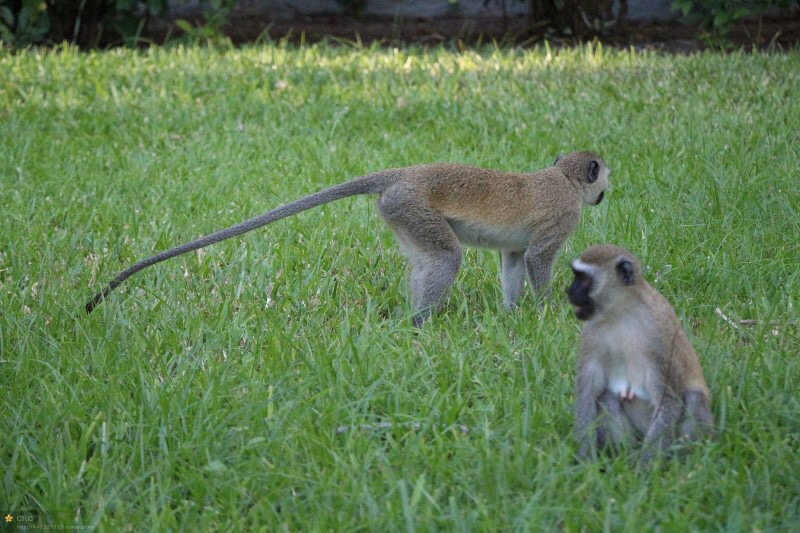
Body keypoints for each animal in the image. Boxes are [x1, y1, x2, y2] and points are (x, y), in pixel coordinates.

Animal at [87, 151, 608, 324]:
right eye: (603, 174)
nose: (606, 192)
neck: (563, 180)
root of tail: (404, 175)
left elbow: (515, 259)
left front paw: (513, 313)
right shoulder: (563, 217)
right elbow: (538, 260)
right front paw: (548, 313)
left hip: (401, 213)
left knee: (429, 261)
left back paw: (413, 321)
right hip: (411, 206)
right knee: (446, 258)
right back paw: (420, 324)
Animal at [564, 244, 716, 462]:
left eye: (584, 279)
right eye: (576, 276)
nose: (569, 292)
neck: (621, 313)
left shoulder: (659, 335)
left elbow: (667, 401)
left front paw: (645, 468)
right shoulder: (591, 335)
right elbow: (587, 394)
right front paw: (585, 460)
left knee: (694, 398)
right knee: (606, 396)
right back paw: (623, 454)